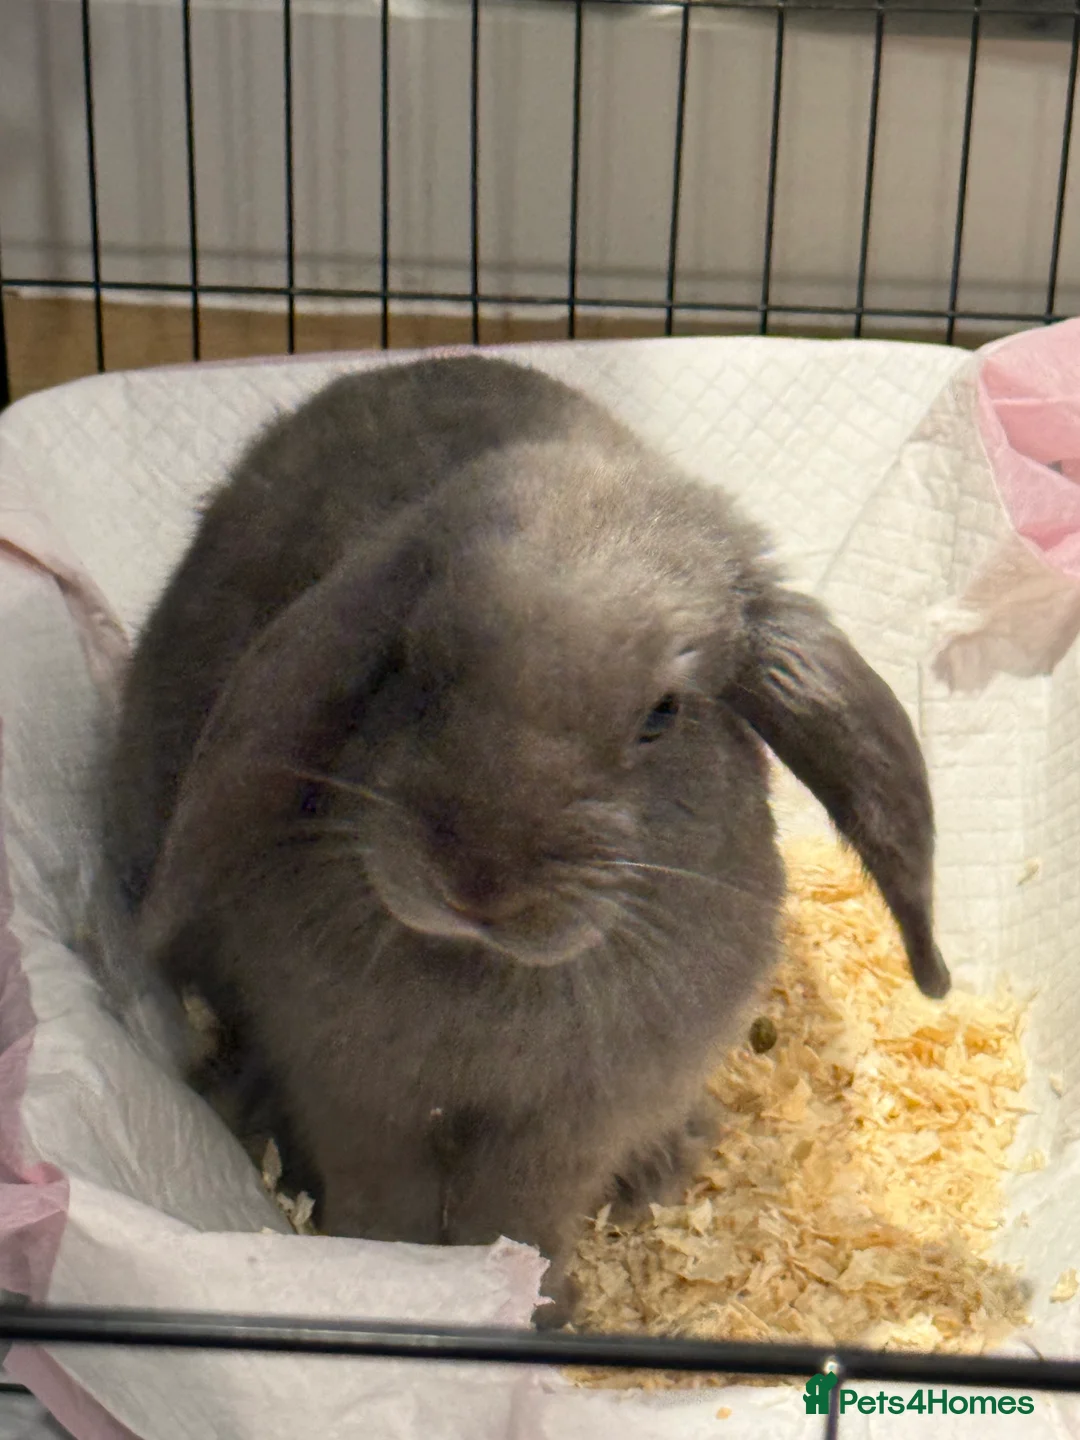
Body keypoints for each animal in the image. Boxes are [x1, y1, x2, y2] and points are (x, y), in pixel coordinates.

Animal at [102, 352, 950, 1328]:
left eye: (664, 713)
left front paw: (543, 1310)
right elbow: (386, 1212)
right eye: (413, 663)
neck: (490, 976)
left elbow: (519, 1220)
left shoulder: (566, 1129)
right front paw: (402, 1289)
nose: (478, 877)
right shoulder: (358, 1093)